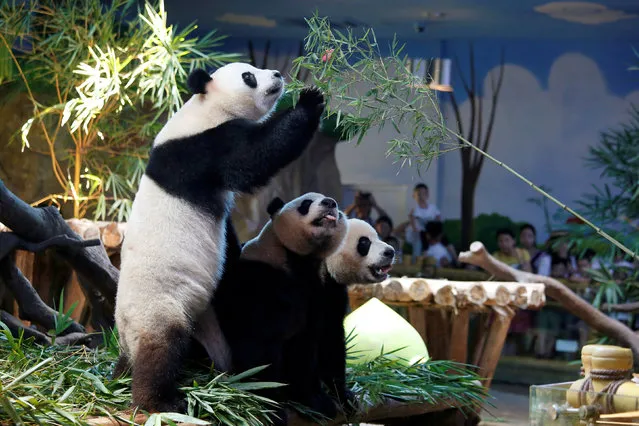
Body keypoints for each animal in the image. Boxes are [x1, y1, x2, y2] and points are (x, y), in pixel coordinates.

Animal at [114, 63, 324, 412]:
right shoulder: (203, 149)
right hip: (160, 305)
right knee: (162, 349)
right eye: (249, 76)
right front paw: (311, 100)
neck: (205, 108)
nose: (277, 75)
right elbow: (255, 157)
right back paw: (158, 401)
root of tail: (126, 330)